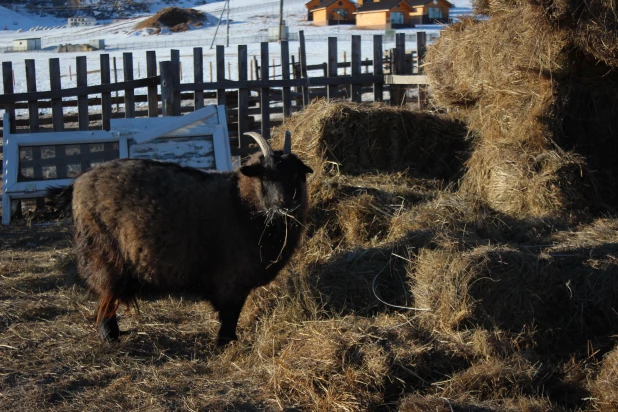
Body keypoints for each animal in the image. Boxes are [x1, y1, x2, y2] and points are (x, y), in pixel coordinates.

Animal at [47, 132, 312, 344]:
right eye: (265, 175)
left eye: (295, 175)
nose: (286, 205)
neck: (240, 202)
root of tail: (77, 183)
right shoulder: (232, 281)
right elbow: (230, 315)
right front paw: (226, 343)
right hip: (103, 255)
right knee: (107, 299)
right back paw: (110, 337)